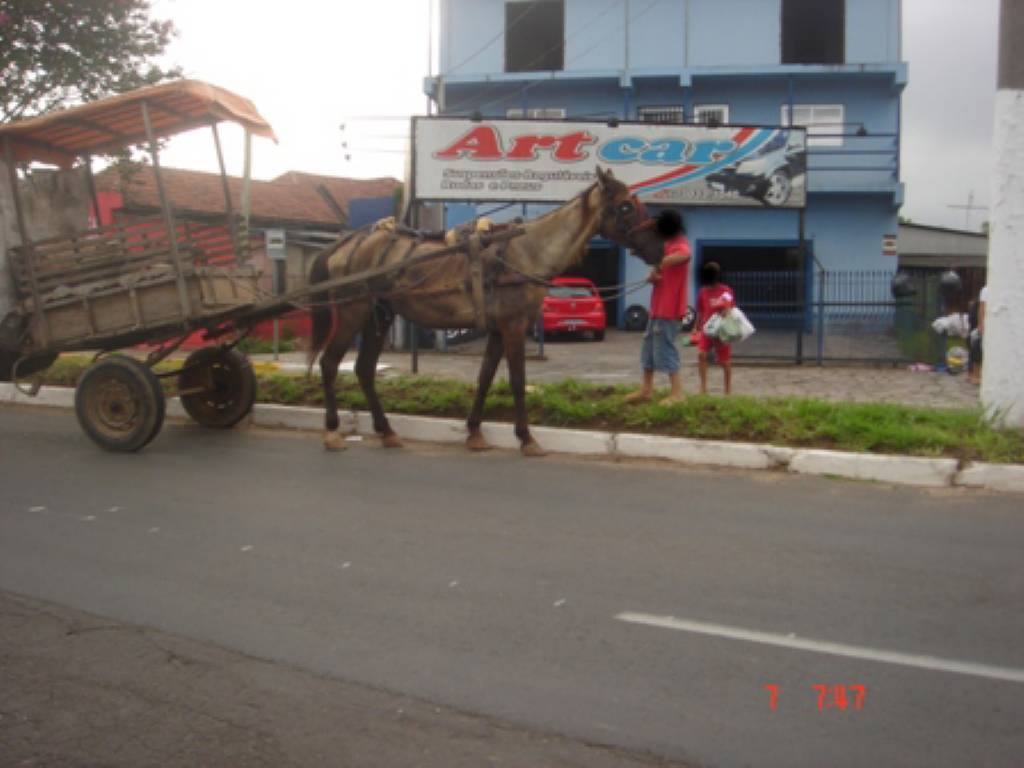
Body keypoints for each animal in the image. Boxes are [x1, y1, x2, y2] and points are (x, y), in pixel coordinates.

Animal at [307, 166, 667, 456]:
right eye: (625, 206)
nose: (658, 250)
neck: (526, 253)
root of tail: (345, 245)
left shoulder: (497, 329)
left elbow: (484, 378)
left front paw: (475, 433)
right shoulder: (514, 326)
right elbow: (517, 381)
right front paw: (526, 438)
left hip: (379, 317)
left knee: (365, 370)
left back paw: (387, 432)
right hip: (352, 313)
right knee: (329, 364)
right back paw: (332, 431)